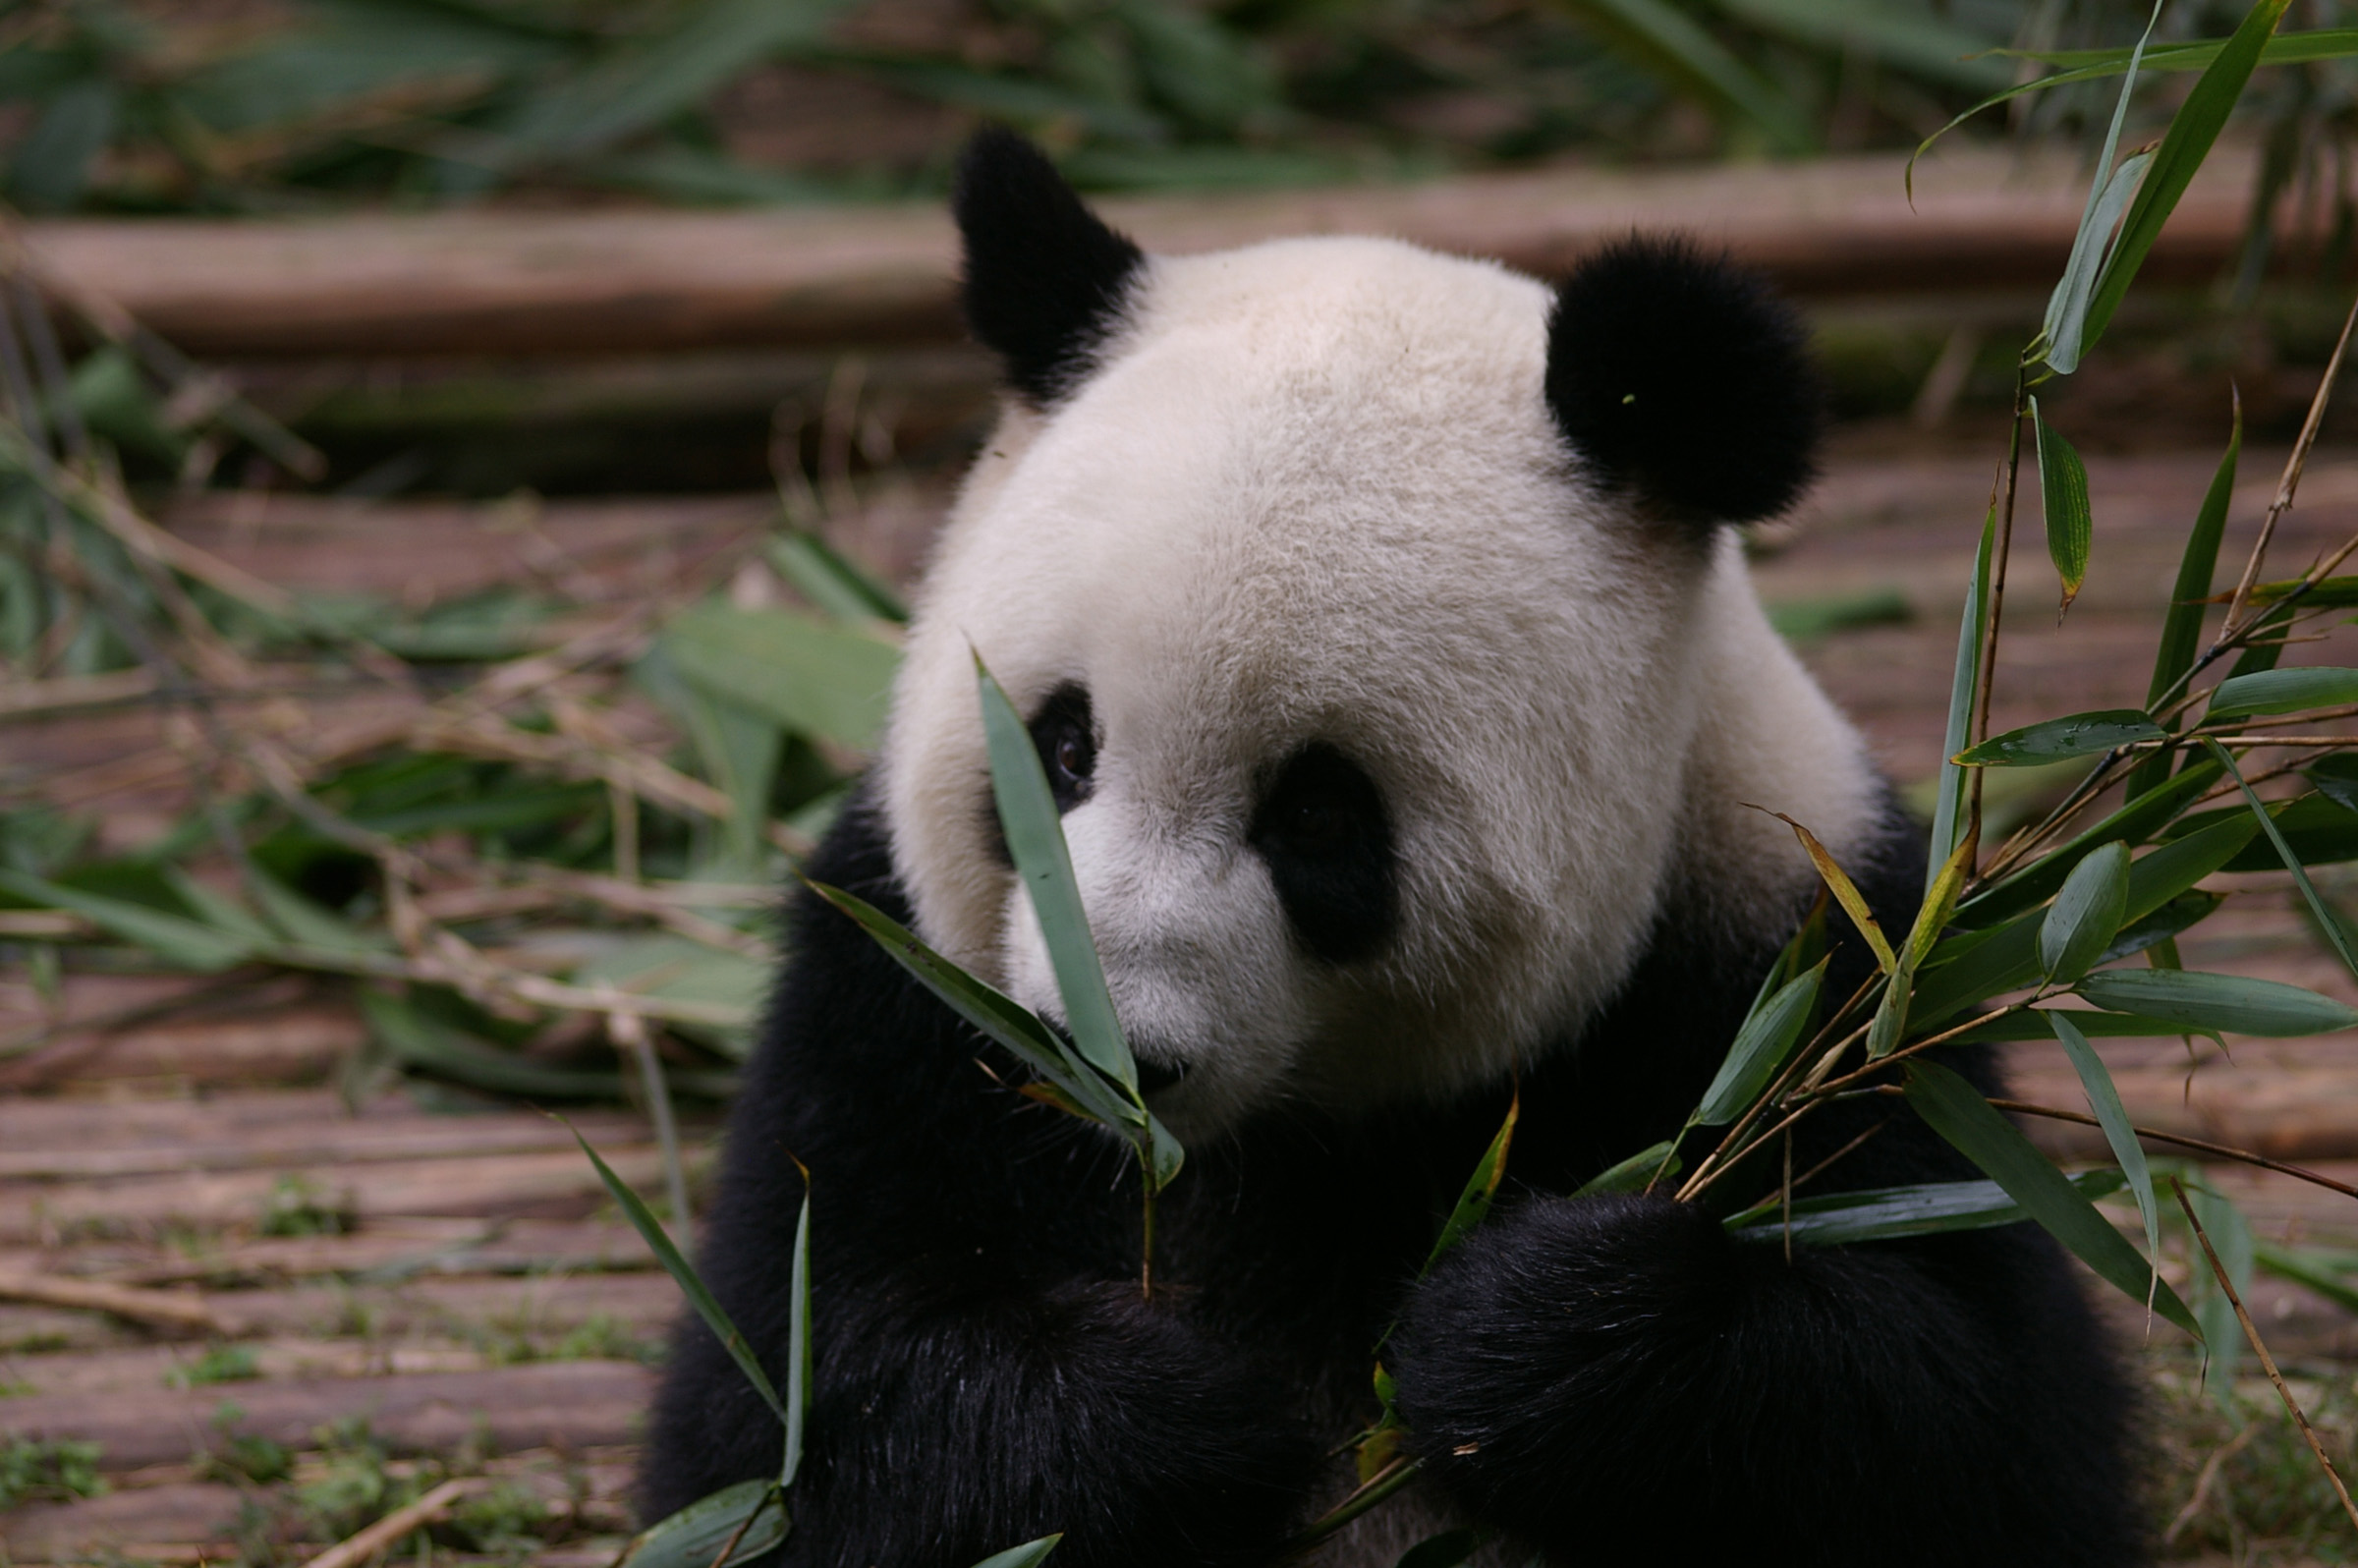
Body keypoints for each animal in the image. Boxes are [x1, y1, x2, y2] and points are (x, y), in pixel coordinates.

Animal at [645, 128, 2139, 1568]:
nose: (1102, 1057)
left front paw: (1533, 1328)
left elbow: (1986, 1419)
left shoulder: (1811, 961)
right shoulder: (896, 1001)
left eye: (1319, 815)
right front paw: (1173, 1418)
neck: (1258, 1152)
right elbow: (780, 1416)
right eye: (1064, 748)